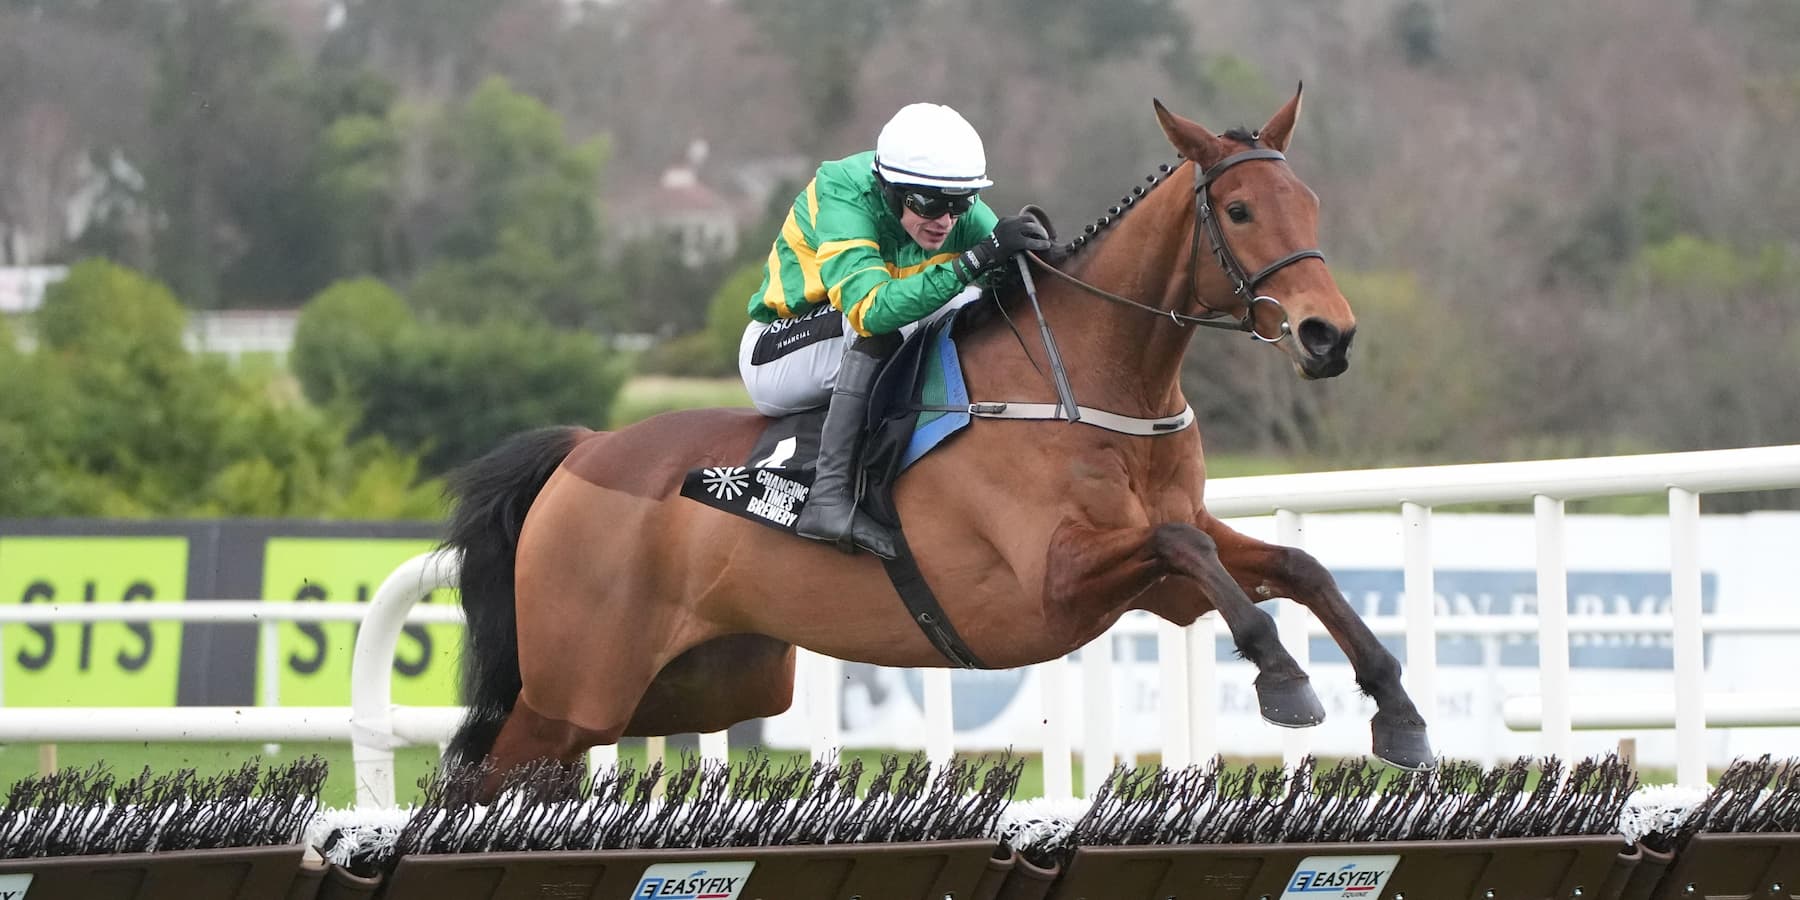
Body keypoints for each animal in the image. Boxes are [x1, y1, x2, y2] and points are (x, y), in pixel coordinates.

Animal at [441, 90, 1433, 798]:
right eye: (1237, 210)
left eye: (1306, 201)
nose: (1327, 336)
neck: (1089, 382)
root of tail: (581, 453)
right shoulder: (1054, 583)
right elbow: (1188, 546)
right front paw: (1282, 677)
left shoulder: (1165, 586)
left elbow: (1293, 564)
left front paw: (1396, 708)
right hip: (575, 688)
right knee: (482, 775)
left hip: (695, 685)